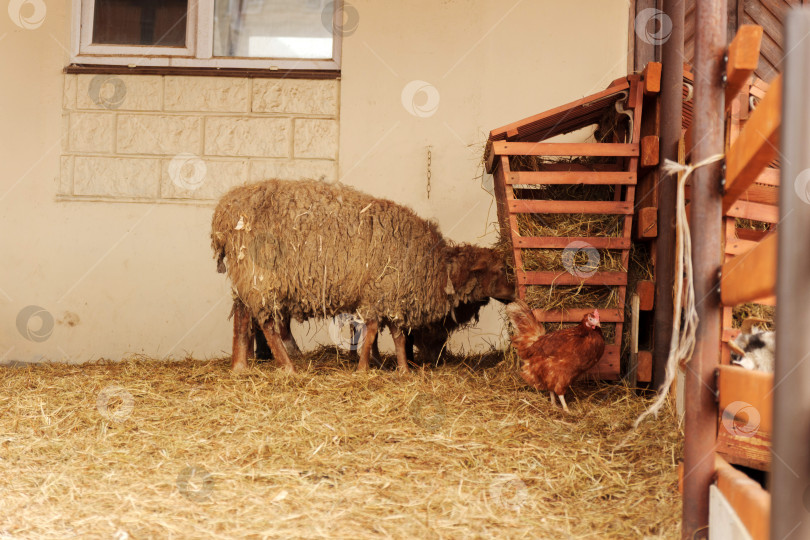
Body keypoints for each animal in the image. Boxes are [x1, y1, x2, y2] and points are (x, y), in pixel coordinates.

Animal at [211, 179, 514, 373]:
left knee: (242, 316)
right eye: (501, 270)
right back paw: (288, 367)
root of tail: (223, 214)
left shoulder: (388, 296)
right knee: (267, 324)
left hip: (246, 277)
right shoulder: (384, 292)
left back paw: (240, 366)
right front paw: (366, 369)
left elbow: (390, 335)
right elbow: (374, 333)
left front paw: (399, 370)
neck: (436, 268)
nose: (515, 294)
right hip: (261, 278)